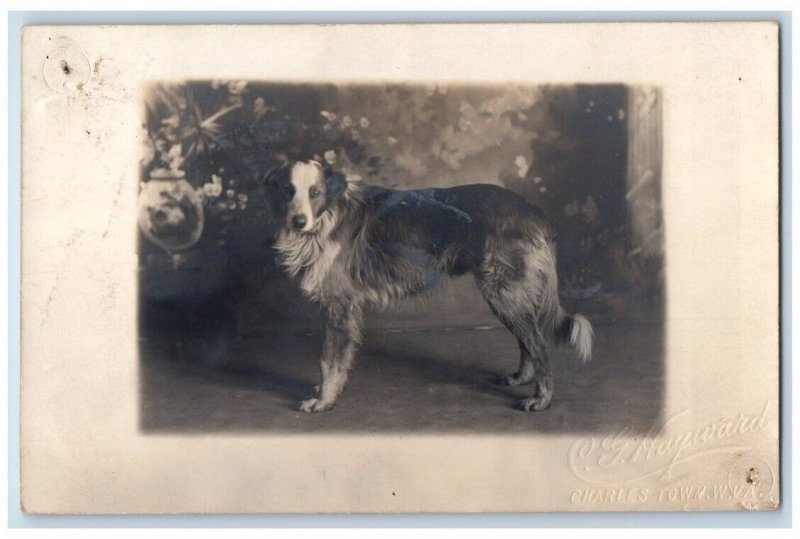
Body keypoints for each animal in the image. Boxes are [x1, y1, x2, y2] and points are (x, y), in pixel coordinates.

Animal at [268, 160, 592, 414]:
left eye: (315, 192)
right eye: (288, 191)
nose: (298, 222)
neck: (327, 218)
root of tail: (535, 213)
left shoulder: (340, 308)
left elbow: (329, 361)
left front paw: (324, 401)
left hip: (503, 292)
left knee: (538, 343)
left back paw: (541, 399)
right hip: (509, 295)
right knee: (527, 341)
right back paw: (521, 378)